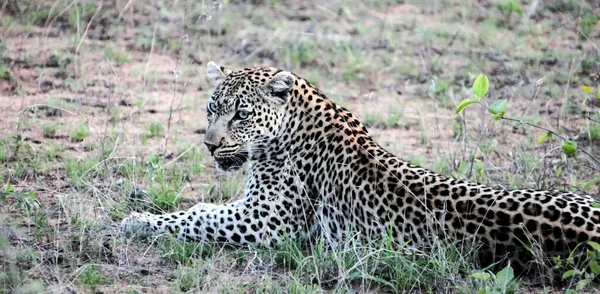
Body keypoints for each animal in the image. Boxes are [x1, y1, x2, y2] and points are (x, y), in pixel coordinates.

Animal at [119, 61, 600, 274]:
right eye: (211, 109)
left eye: (241, 114)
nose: (209, 144)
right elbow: (199, 209)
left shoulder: (269, 221)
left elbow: (197, 216)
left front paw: (136, 221)